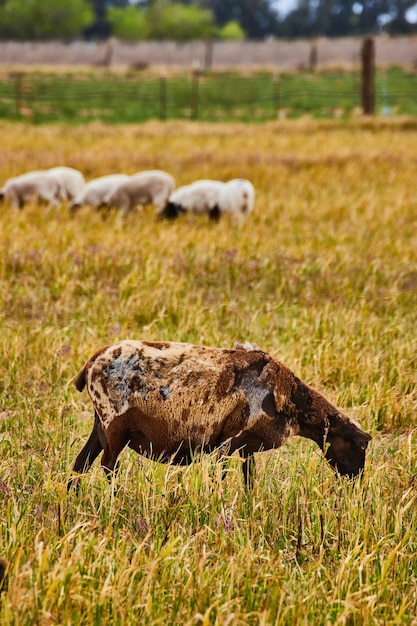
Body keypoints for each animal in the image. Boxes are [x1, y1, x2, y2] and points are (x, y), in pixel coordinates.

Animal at [68, 336, 370, 488]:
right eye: (361, 446)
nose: (356, 483)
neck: (288, 397)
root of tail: (93, 362)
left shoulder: (246, 446)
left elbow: (249, 480)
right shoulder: (226, 441)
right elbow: (220, 477)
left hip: (100, 424)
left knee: (80, 465)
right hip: (114, 424)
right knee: (108, 466)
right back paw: (115, 496)